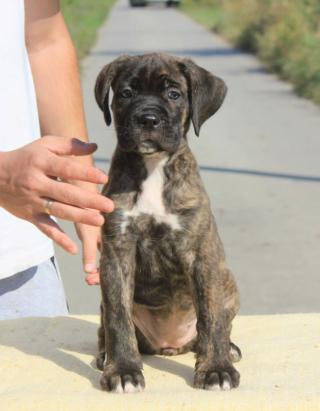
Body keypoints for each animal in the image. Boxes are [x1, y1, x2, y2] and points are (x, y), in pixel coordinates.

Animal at [95, 53, 242, 394]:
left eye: (174, 94)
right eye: (126, 93)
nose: (148, 119)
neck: (154, 166)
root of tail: (170, 346)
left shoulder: (201, 255)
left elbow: (211, 317)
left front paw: (216, 368)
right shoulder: (116, 254)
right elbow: (118, 318)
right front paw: (122, 370)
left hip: (229, 283)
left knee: (217, 325)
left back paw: (227, 349)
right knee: (107, 327)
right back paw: (105, 355)